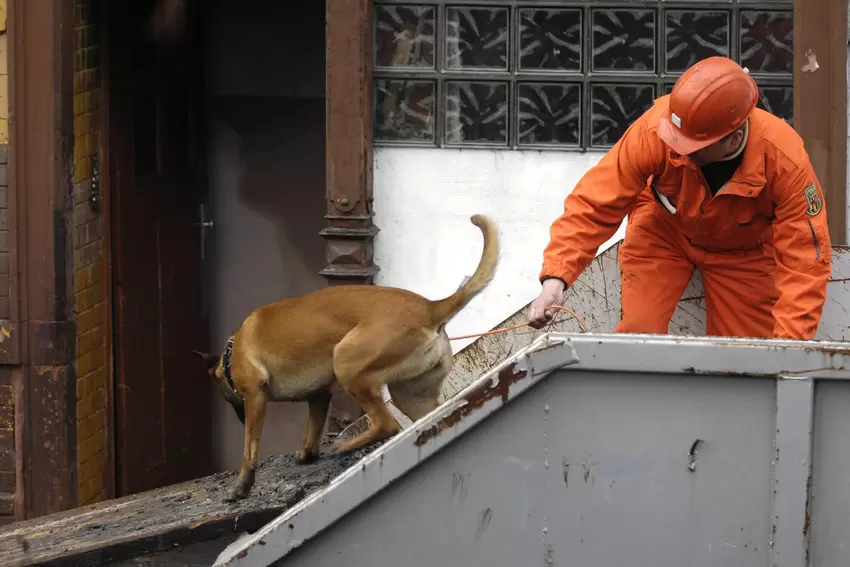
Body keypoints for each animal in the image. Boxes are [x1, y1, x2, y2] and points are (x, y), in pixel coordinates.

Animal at [194, 214, 496, 502]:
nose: (240, 418)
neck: (233, 350)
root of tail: (430, 308)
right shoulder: (318, 397)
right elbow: (312, 429)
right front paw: (306, 454)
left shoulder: (256, 395)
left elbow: (249, 448)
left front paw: (242, 486)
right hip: (411, 396)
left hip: (348, 363)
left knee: (387, 424)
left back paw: (346, 446)